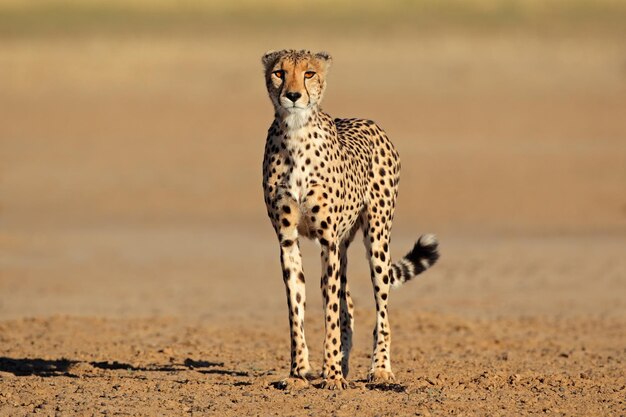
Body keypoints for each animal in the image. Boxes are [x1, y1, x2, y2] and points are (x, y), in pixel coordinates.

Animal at [260, 49, 438, 390]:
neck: (295, 132)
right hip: (342, 246)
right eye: (279, 72)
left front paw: (331, 375)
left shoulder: (327, 241)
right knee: (348, 305)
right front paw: (298, 373)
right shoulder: (288, 240)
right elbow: (296, 309)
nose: (293, 95)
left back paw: (379, 369)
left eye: (309, 73)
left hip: (377, 238)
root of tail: (370, 122)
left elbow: (329, 311)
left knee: (381, 310)